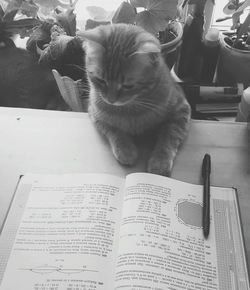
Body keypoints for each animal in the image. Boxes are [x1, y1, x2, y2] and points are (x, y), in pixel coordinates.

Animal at [78, 23, 191, 177]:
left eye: (128, 86)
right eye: (100, 80)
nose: (110, 99)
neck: (131, 109)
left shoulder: (181, 110)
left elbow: (169, 137)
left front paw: (160, 162)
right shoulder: (96, 114)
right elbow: (115, 130)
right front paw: (125, 150)